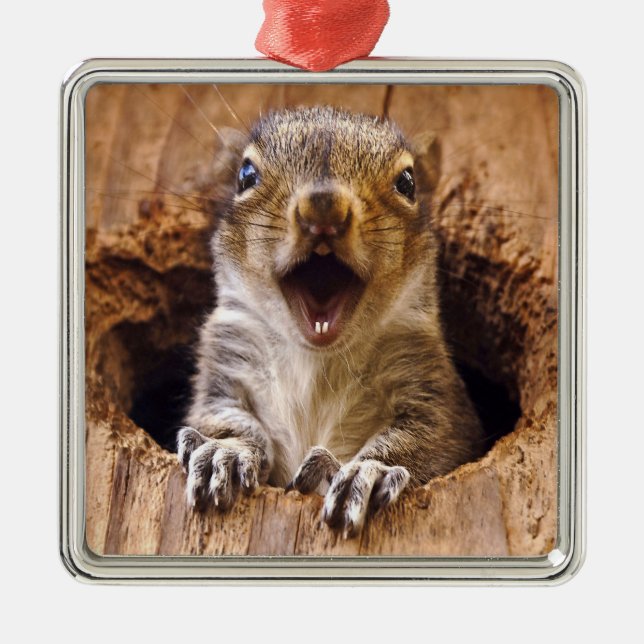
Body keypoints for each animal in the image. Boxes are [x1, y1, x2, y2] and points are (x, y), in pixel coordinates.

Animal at [177, 106, 484, 538]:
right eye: (245, 175)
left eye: (408, 182)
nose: (323, 206)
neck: (317, 357)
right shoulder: (225, 361)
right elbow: (222, 416)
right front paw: (225, 452)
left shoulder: (431, 386)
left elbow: (429, 437)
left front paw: (369, 472)